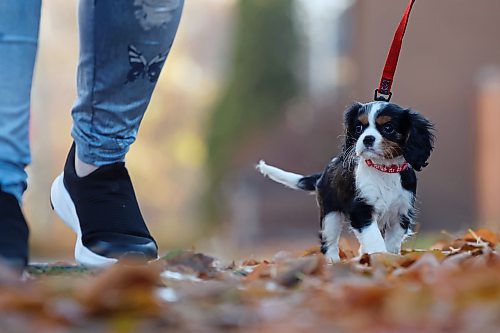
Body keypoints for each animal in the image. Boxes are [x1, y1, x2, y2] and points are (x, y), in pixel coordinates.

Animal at [258, 100, 434, 260]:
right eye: (358, 128)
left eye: (388, 128)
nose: (367, 139)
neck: (384, 169)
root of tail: (323, 174)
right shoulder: (361, 209)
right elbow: (374, 238)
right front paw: (380, 257)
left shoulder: (401, 213)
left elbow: (392, 241)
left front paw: (390, 259)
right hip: (330, 215)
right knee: (328, 243)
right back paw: (333, 263)